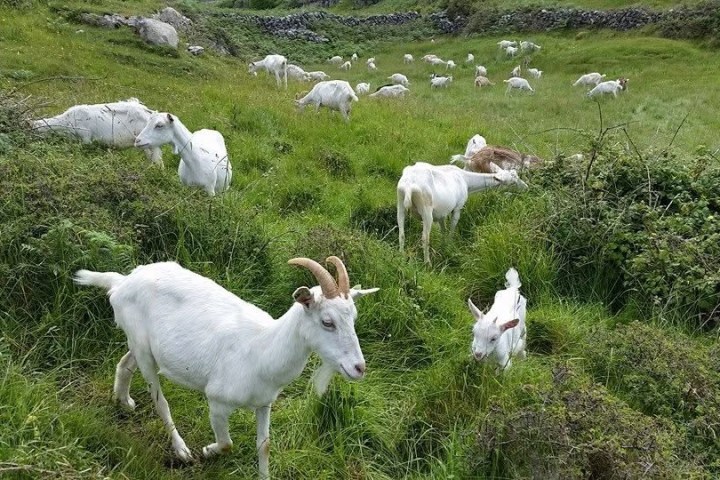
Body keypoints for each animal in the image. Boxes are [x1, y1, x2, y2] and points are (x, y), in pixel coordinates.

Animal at [73, 257, 378, 479]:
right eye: (327, 322)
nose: (359, 367)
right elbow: (227, 444)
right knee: (160, 401)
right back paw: (181, 450)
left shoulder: (264, 403)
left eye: (354, 317)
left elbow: (264, 446)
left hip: (142, 345)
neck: (262, 350)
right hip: (144, 351)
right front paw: (208, 450)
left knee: (125, 363)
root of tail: (122, 282)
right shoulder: (217, 402)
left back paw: (123, 401)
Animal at [397, 162, 528, 264]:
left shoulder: (441, 213)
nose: (526, 187)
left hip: (400, 204)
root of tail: (409, 185)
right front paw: (449, 246)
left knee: (401, 233)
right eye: (513, 182)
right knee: (425, 237)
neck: (466, 181)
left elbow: (443, 230)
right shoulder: (458, 207)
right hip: (426, 209)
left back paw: (401, 257)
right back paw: (427, 263)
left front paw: (444, 244)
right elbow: (452, 227)